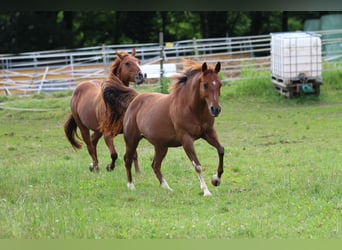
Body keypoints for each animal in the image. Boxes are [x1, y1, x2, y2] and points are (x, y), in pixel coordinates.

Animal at [103, 59, 223, 196]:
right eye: (205, 85)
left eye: (220, 84)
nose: (216, 109)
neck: (191, 108)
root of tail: (135, 99)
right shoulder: (186, 139)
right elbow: (197, 165)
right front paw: (206, 191)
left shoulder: (208, 133)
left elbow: (221, 150)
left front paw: (216, 180)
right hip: (132, 140)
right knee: (128, 159)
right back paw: (131, 185)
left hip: (161, 146)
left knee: (155, 165)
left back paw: (167, 187)